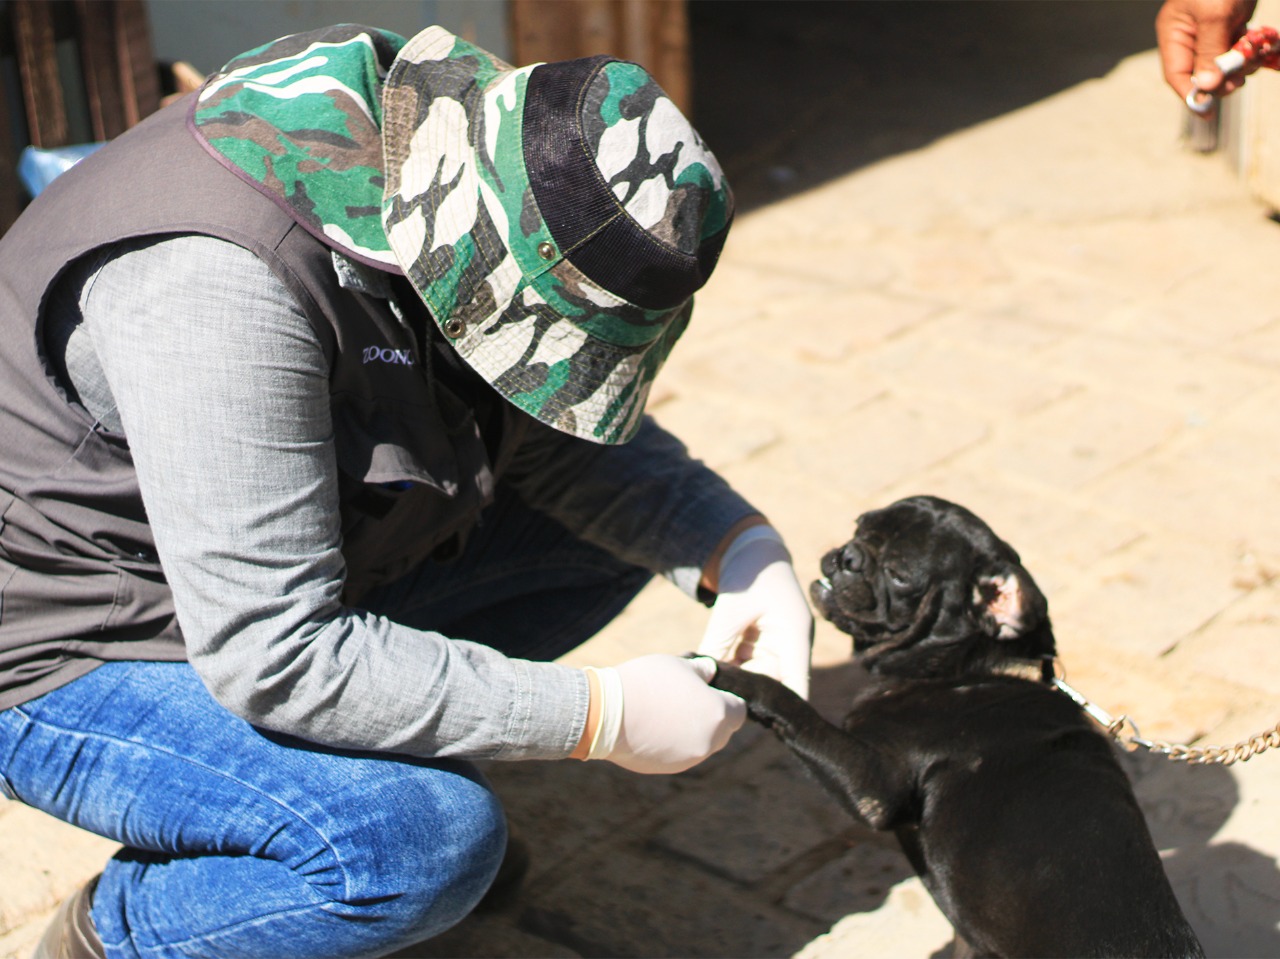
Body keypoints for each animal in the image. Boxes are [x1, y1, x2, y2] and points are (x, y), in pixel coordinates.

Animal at [711, 496, 1198, 952]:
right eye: (860, 526)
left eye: (899, 576)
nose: (849, 555)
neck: (966, 669)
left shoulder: (875, 788)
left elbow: (791, 705)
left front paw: (725, 676)